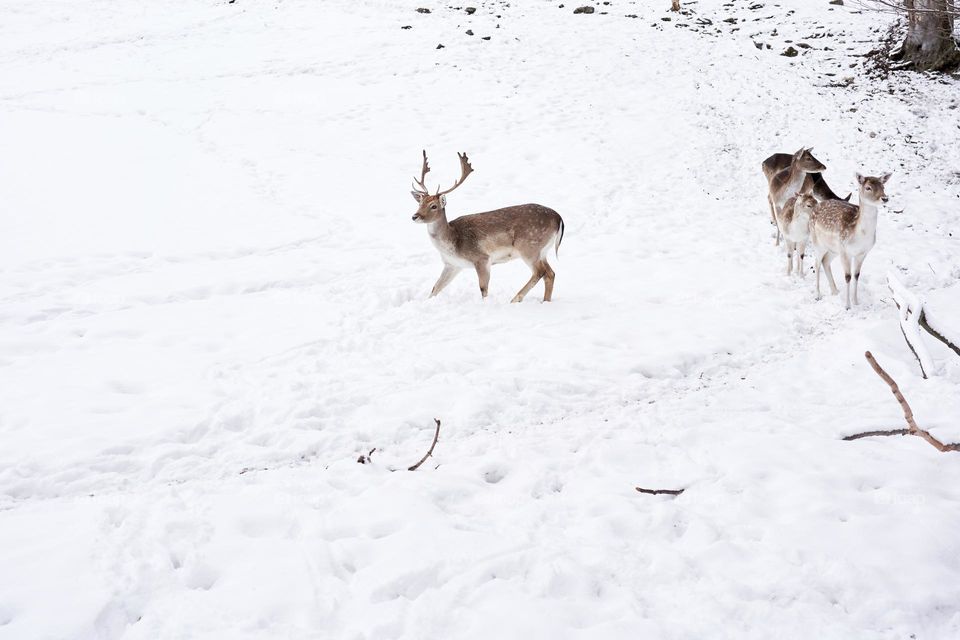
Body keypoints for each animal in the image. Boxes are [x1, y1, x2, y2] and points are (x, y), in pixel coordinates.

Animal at [410, 152, 568, 302]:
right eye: (420, 203)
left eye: (433, 206)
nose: (415, 216)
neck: (452, 243)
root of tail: (558, 218)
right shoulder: (452, 264)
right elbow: (435, 288)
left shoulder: (482, 258)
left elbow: (483, 289)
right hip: (542, 251)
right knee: (550, 273)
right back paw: (544, 301)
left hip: (529, 246)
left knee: (539, 272)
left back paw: (515, 299)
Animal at [808, 171, 892, 308]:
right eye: (868, 187)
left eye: (883, 186)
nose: (885, 198)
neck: (859, 236)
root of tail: (815, 206)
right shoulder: (845, 251)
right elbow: (847, 276)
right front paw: (847, 306)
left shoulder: (862, 253)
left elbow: (856, 275)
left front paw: (856, 302)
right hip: (818, 242)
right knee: (816, 263)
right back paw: (817, 295)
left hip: (833, 249)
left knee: (825, 261)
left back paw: (835, 291)